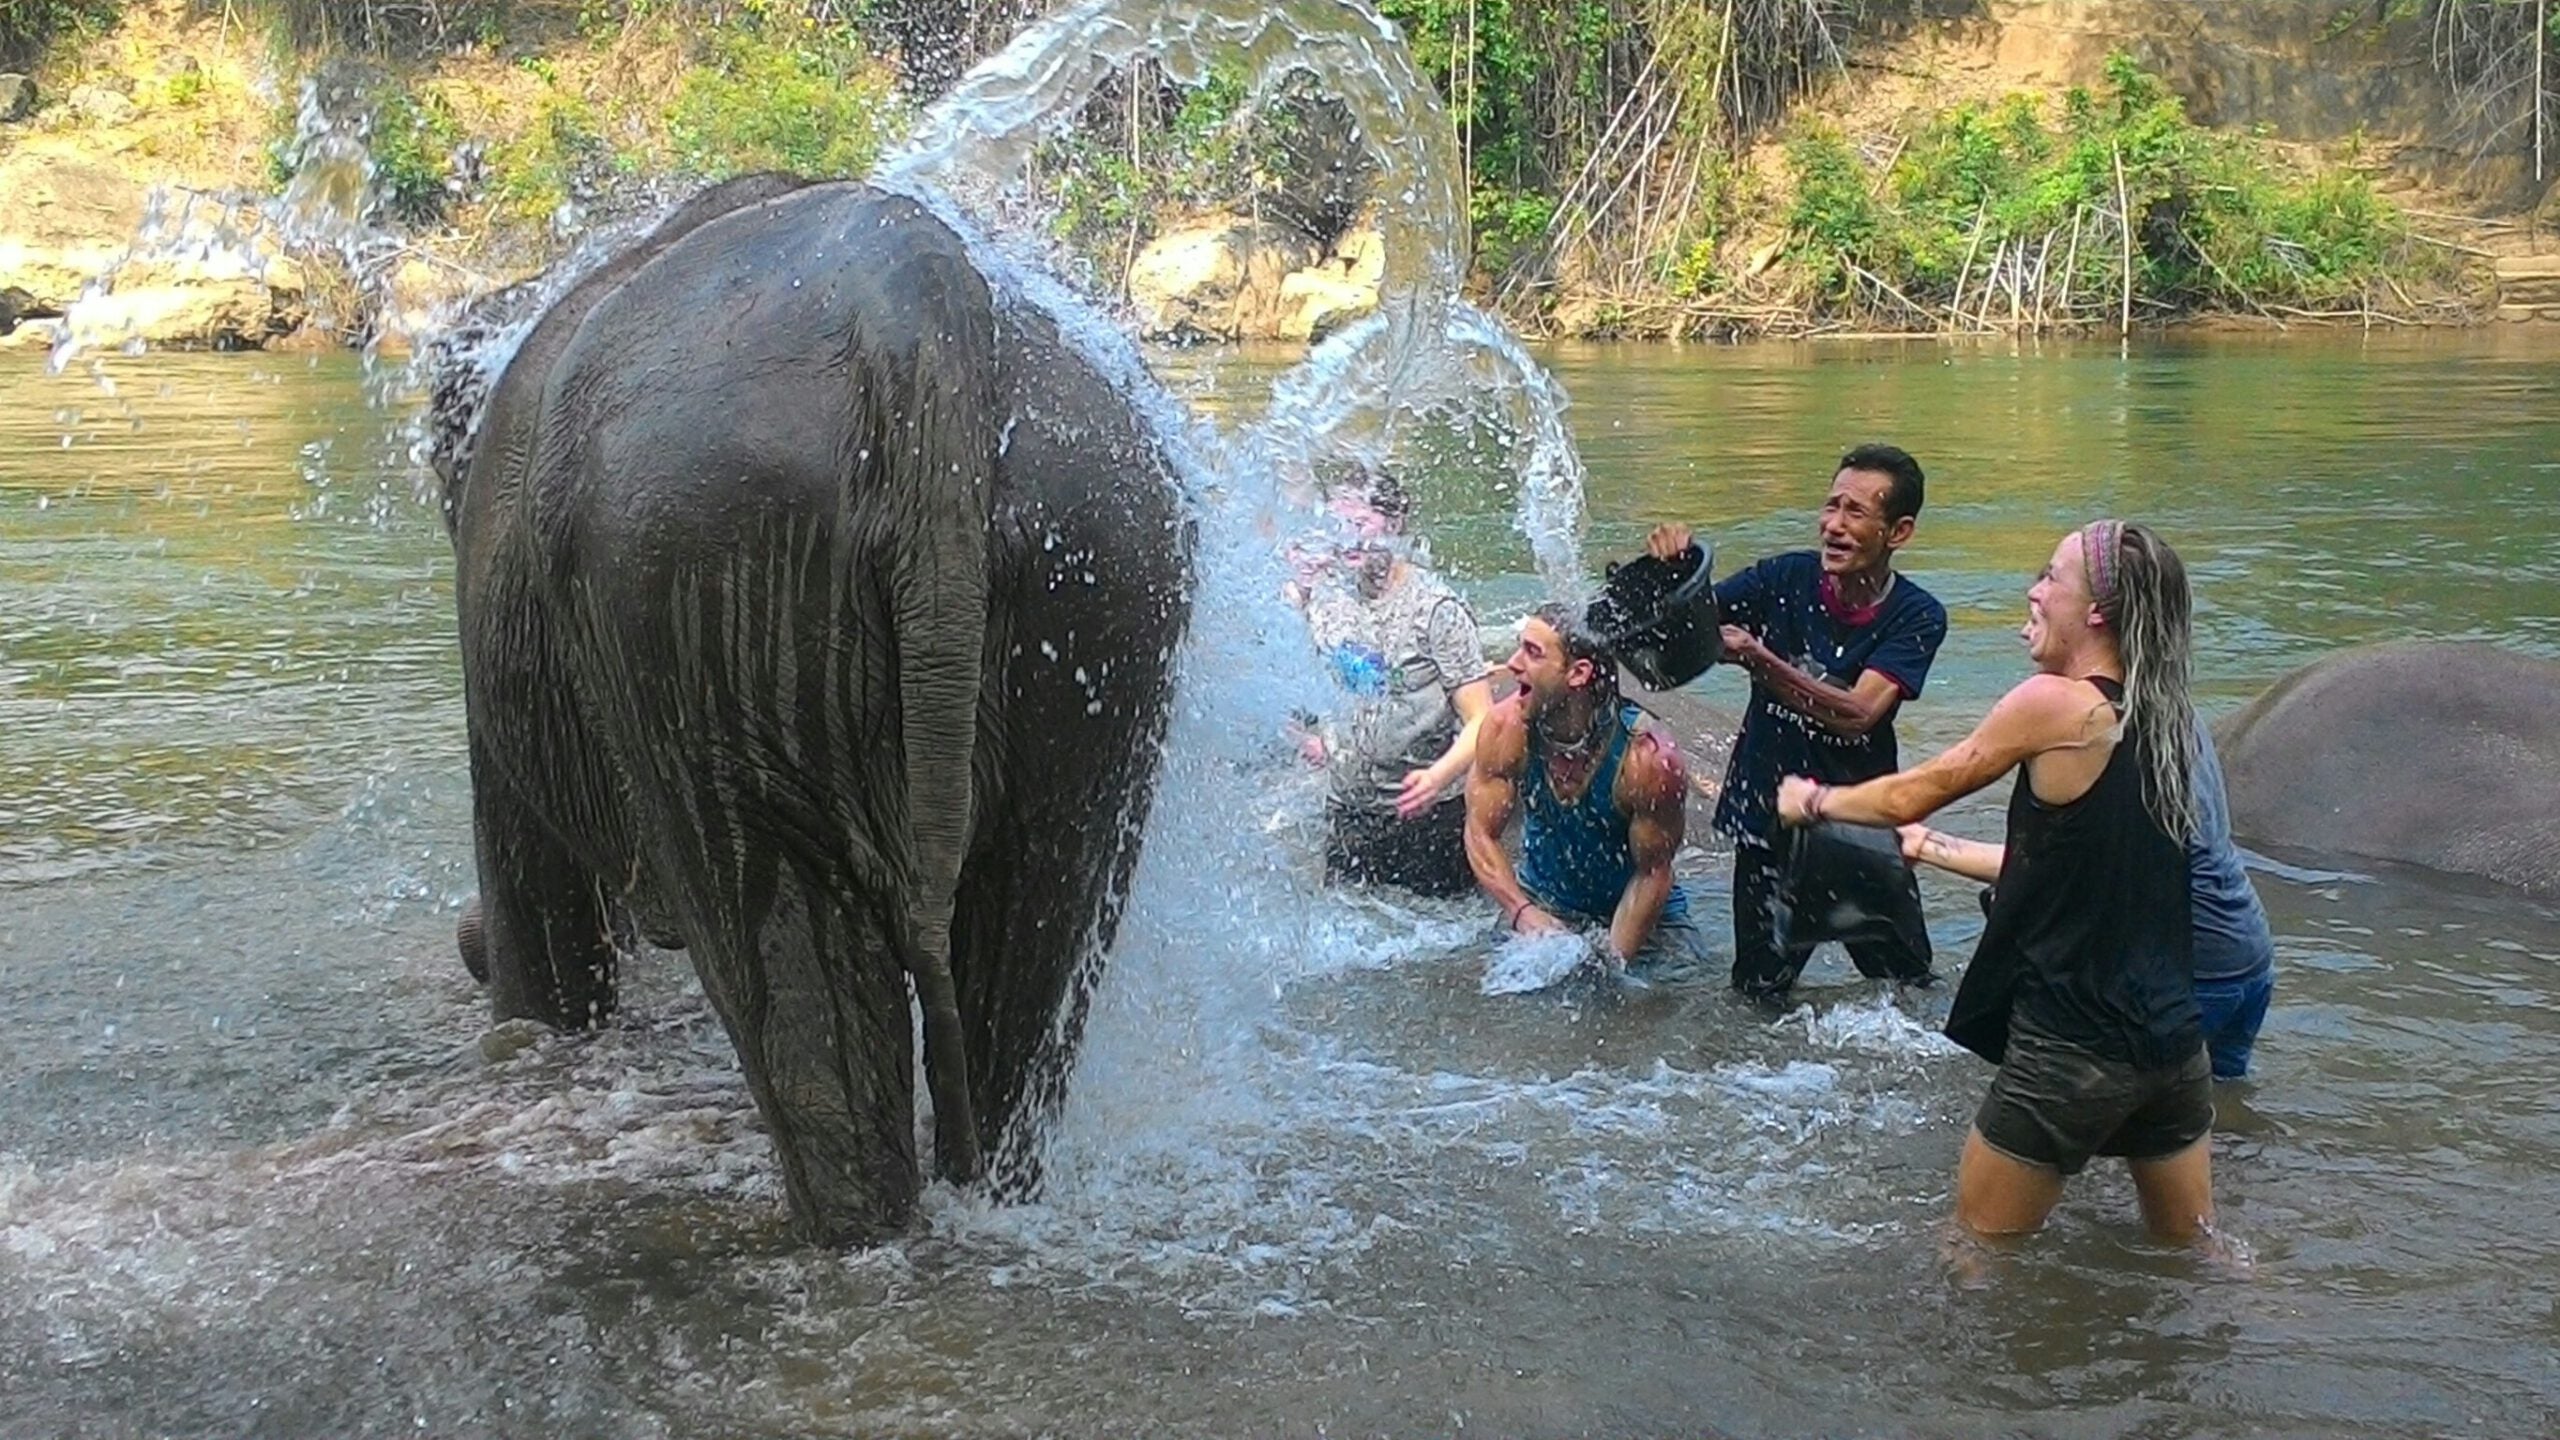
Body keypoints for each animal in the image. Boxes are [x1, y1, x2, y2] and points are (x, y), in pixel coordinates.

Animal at [431, 176, 1196, 1245]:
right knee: (1038, 935)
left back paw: (845, 1231)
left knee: (777, 953)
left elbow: (533, 903)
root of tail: (921, 317)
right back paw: (986, 1199)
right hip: (1103, 567)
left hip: (697, 578)